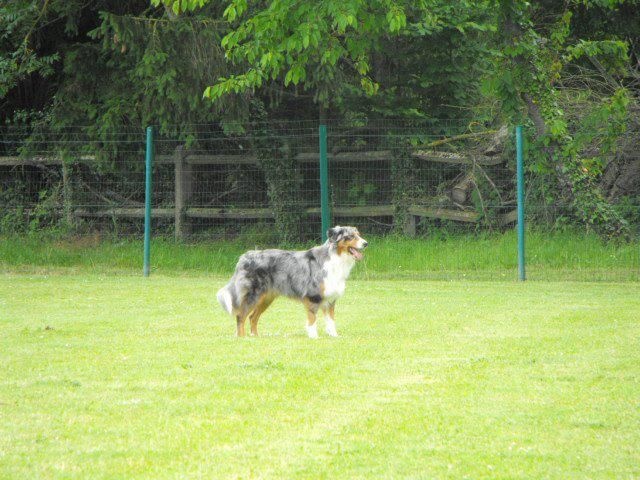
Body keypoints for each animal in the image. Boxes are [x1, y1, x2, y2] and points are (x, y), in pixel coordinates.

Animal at [217, 226, 368, 338]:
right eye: (351, 236)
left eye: (359, 234)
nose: (366, 243)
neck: (336, 258)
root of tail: (244, 257)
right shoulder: (313, 297)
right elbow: (312, 319)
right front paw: (314, 337)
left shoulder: (330, 299)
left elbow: (331, 321)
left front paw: (334, 336)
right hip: (253, 295)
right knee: (240, 316)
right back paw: (242, 338)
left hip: (266, 298)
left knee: (252, 317)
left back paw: (255, 337)